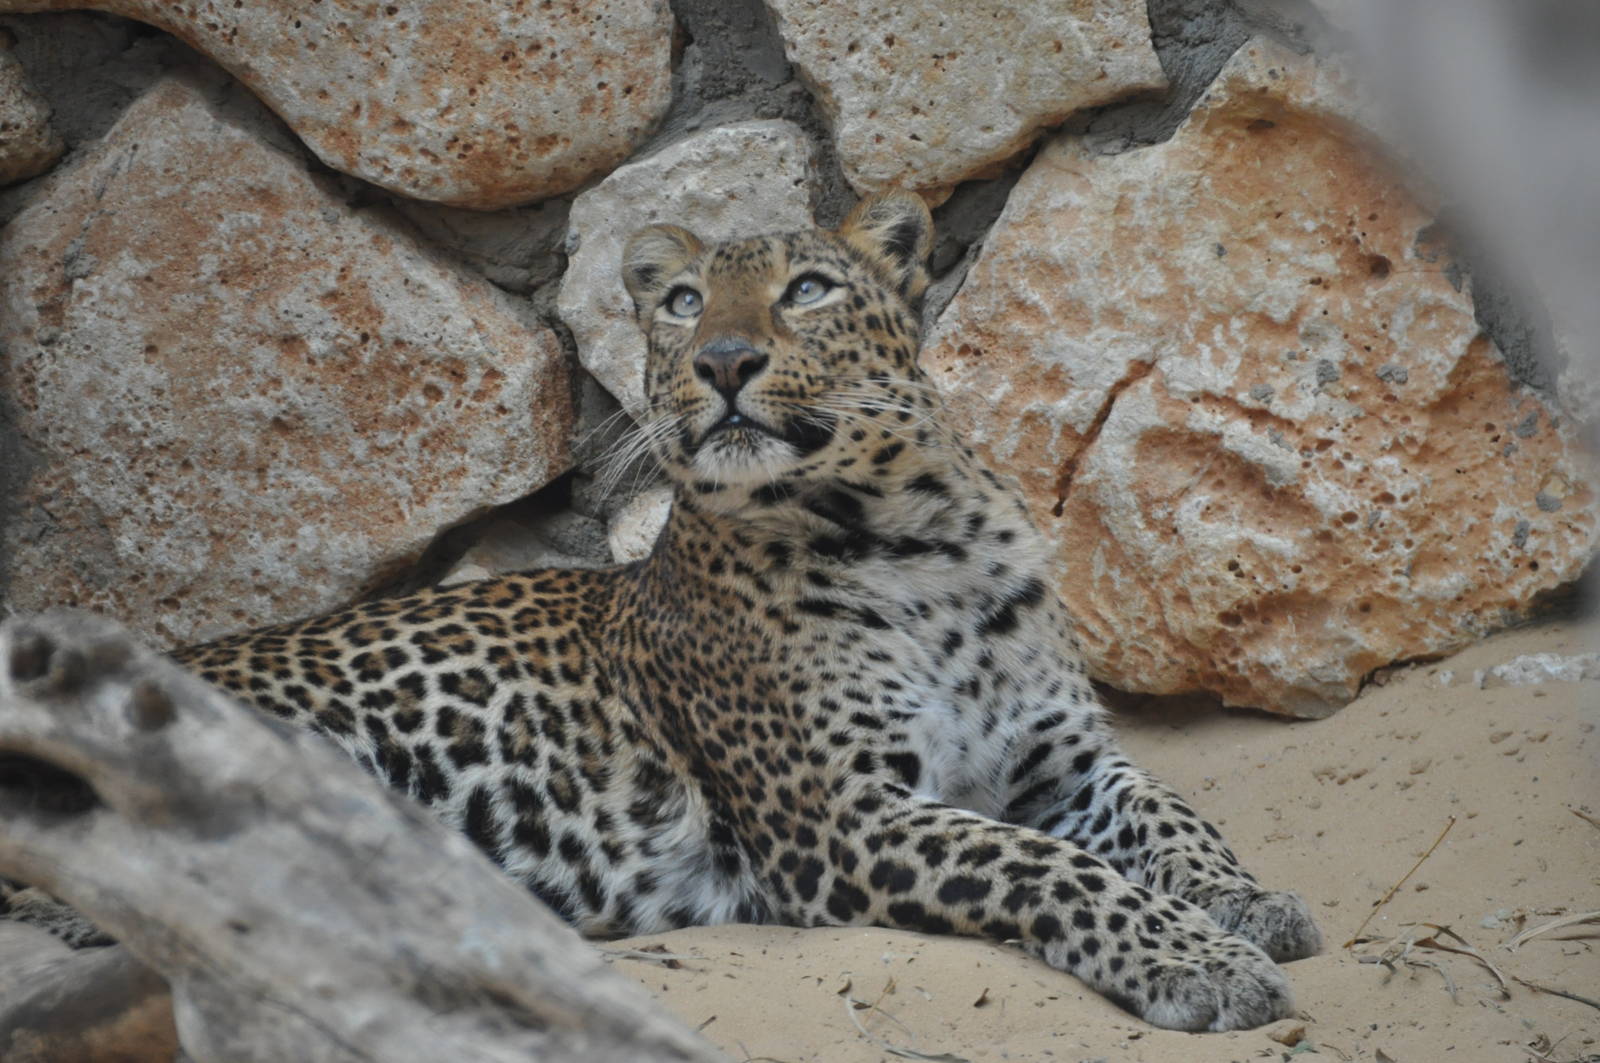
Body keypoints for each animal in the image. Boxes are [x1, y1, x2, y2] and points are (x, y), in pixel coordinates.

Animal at [165, 191, 1321, 1031]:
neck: (916, 540)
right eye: (682, 302)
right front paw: (1193, 957)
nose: (723, 361)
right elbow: (1049, 864)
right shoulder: (841, 818)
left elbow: (1171, 813)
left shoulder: (1064, 762)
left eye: (805, 288)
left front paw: (1248, 901)